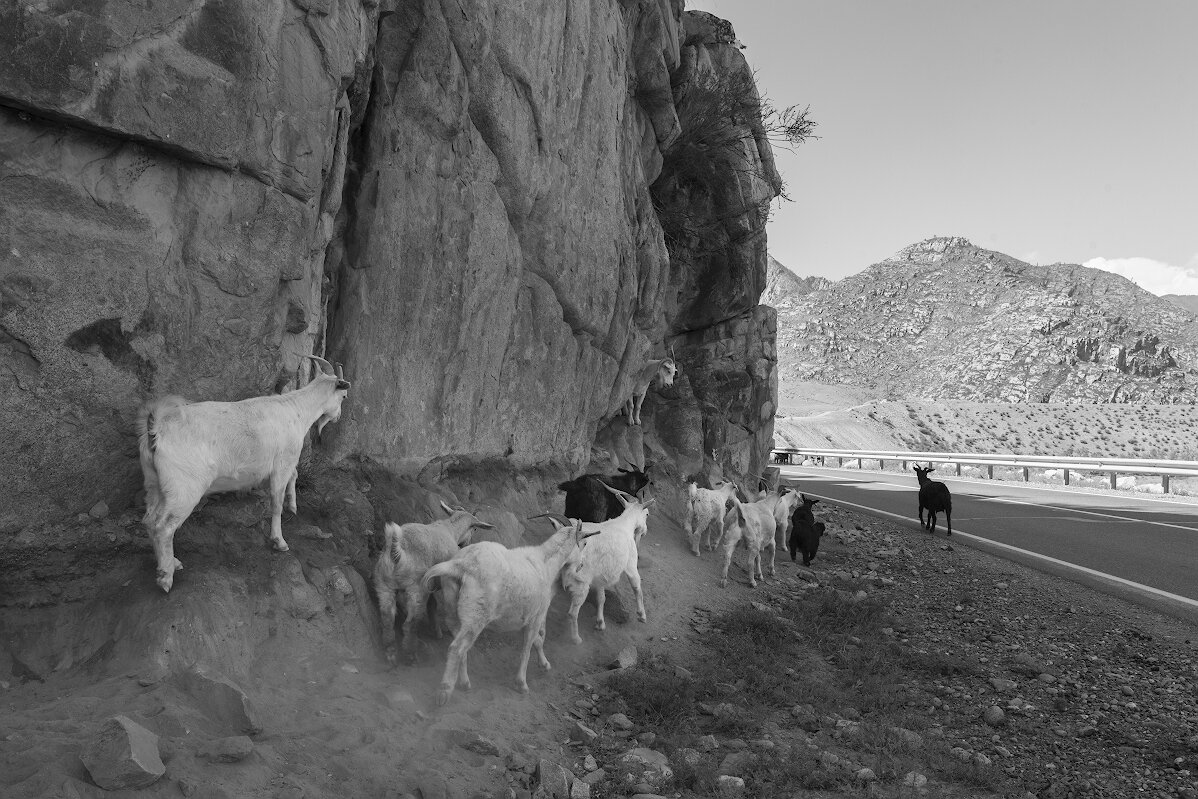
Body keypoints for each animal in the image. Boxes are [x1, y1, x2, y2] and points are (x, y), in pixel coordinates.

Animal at [137, 356, 349, 594]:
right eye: (343, 396)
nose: (338, 417)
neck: (296, 410)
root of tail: (156, 431)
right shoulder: (282, 464)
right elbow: (276, 502)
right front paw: (279, 541)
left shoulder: (286, 464)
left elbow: (292, 479)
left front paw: (293, 507)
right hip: (184, 488)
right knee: (164, 527)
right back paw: (165, 577)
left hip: (154, 483)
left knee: (150, 521)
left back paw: (171, 562)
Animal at [563, 483, 656, 646]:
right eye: (647, 514)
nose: (644, 531)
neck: (623, 525)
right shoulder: (631, 565)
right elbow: (637, 588)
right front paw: (642, 615)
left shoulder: (600, 574)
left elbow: (601, 598)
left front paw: (600, 623)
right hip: (582, 582)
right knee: (572, 613)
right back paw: (576, 639)